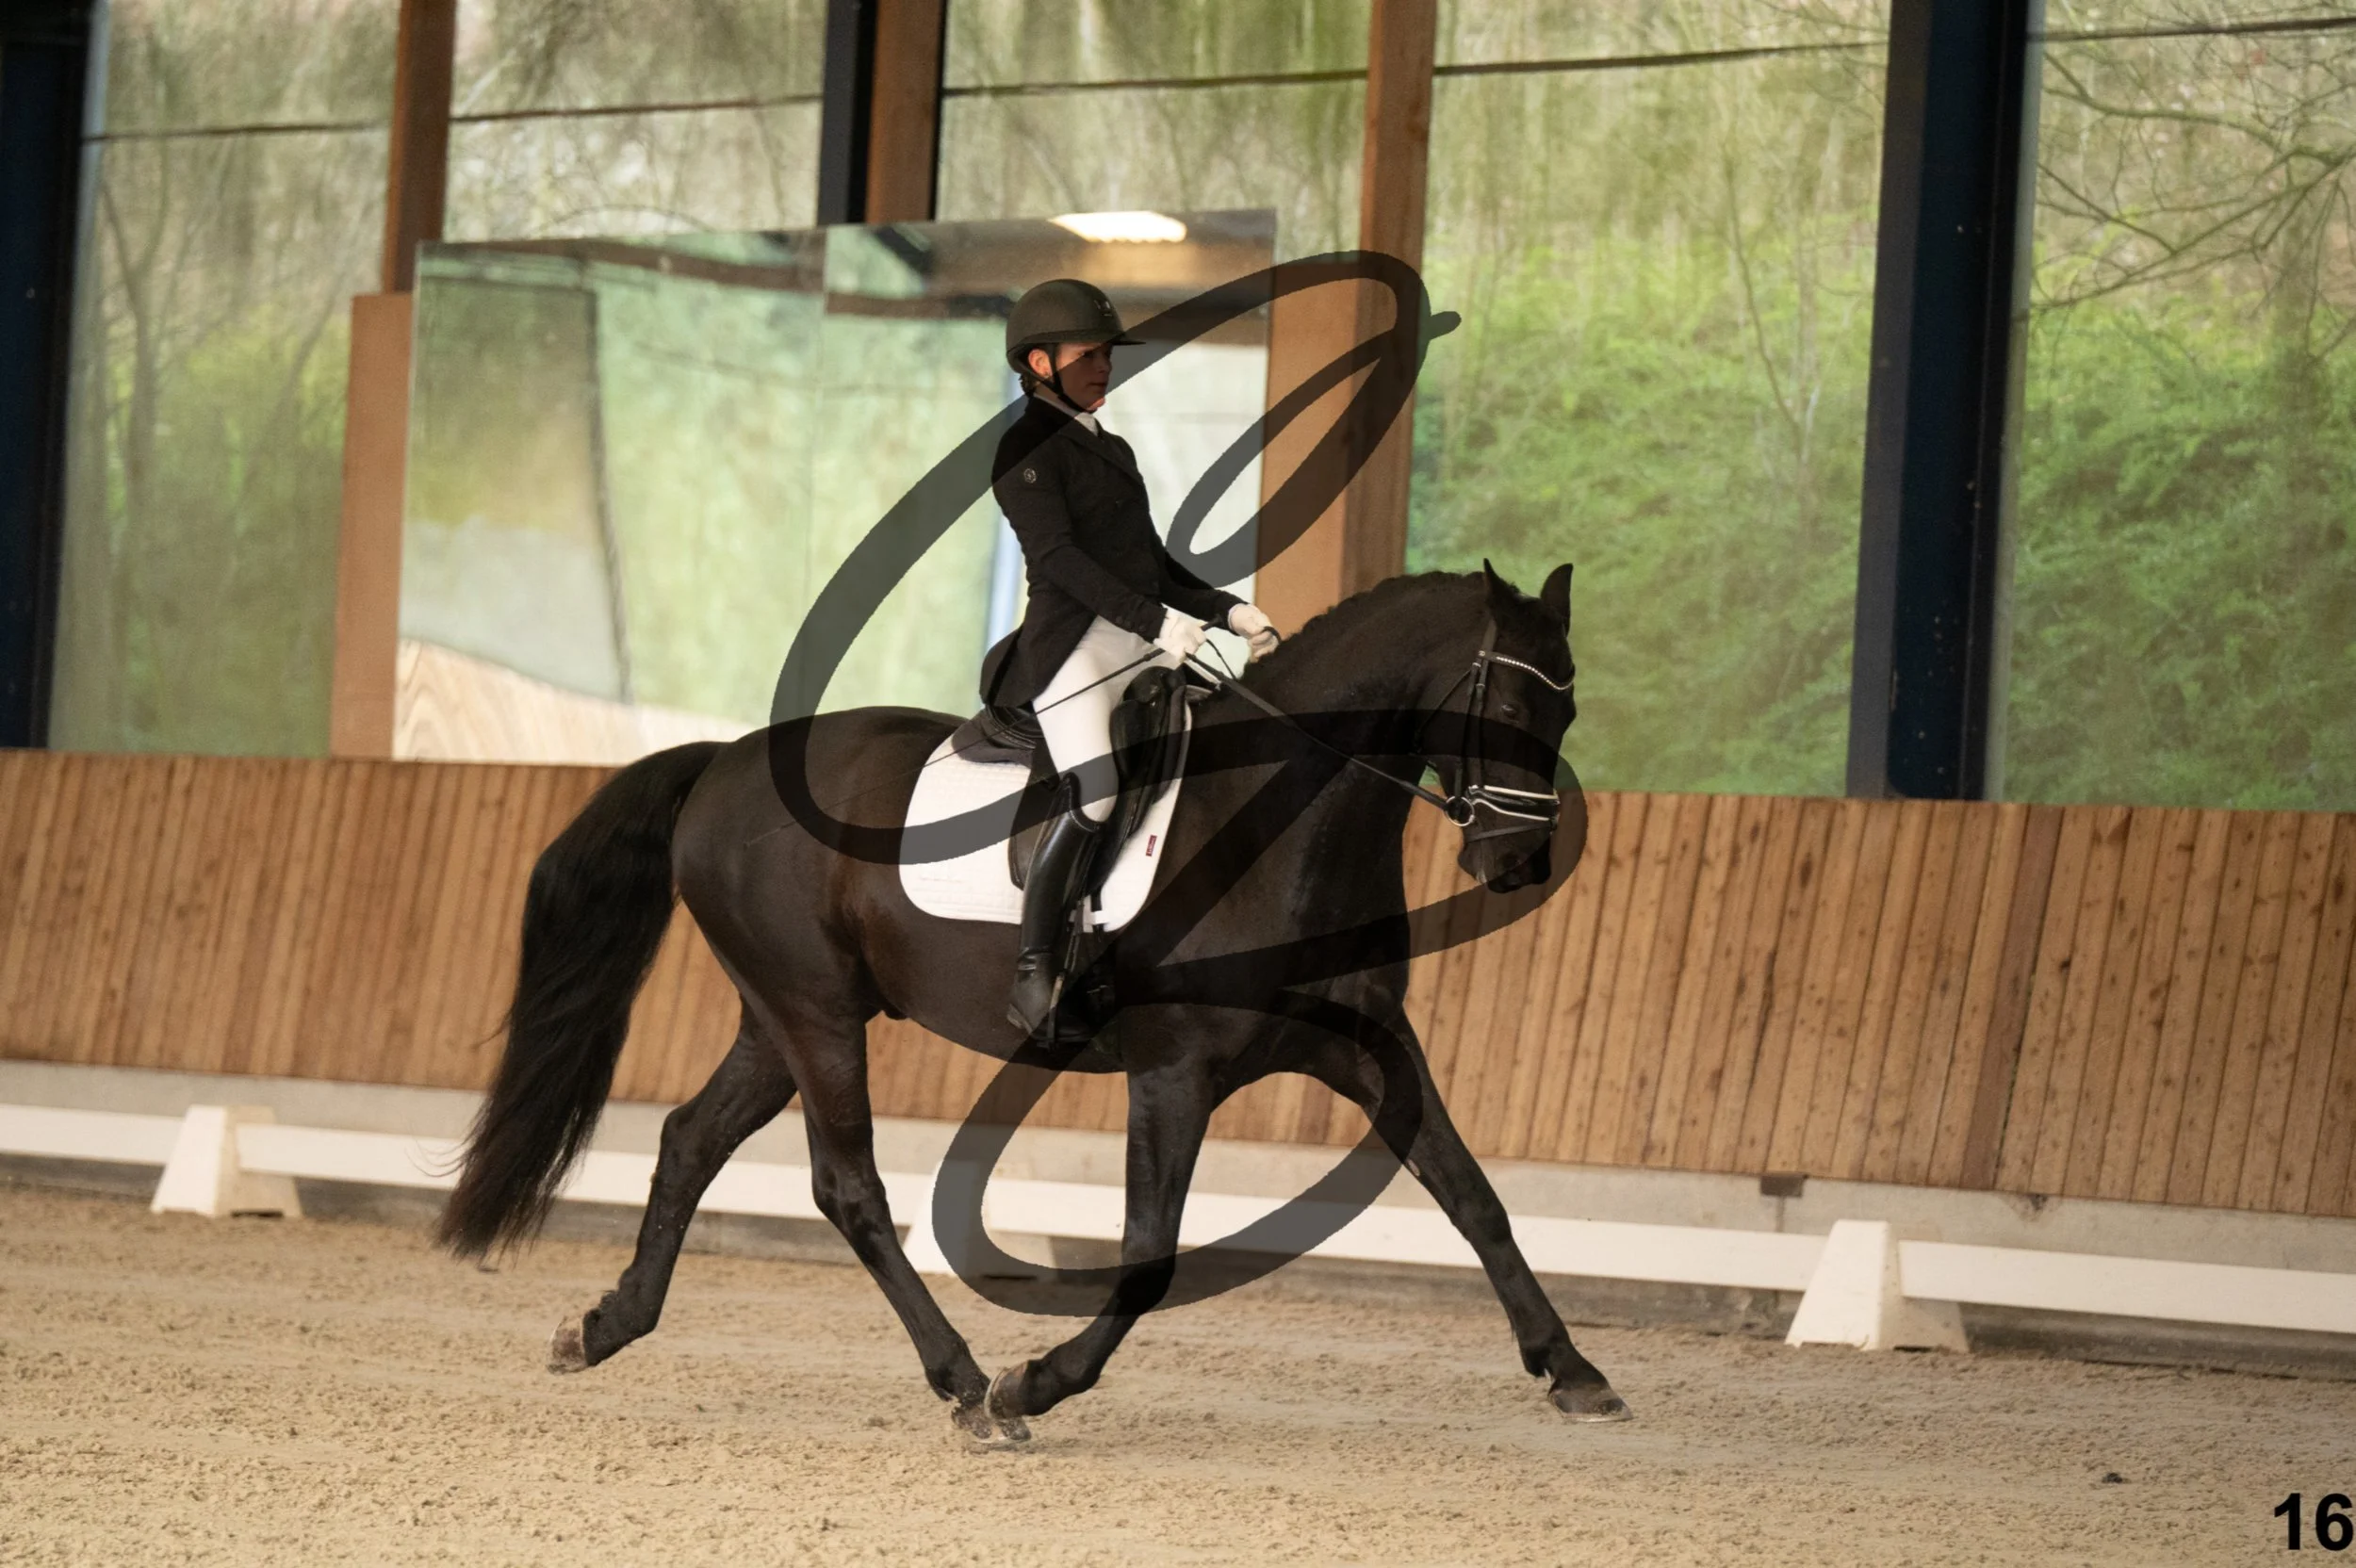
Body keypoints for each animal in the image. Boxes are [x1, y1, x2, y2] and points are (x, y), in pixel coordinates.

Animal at [435, 561, 1633, 1442]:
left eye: (1572, 701)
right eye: (1507, 701)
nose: (1519, 860)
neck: (1277, 826)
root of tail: (726, 757)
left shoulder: (1371, 1043)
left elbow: (1474, 1197)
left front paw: (1573, 1366)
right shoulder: (1175, 1071)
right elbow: (1150, 1253)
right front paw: (1037, 1380)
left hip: (777, 1020)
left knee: (690, 1138)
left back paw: (607, 1324)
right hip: (815, 1016)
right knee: (847, 1187)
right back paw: (967, 1383)